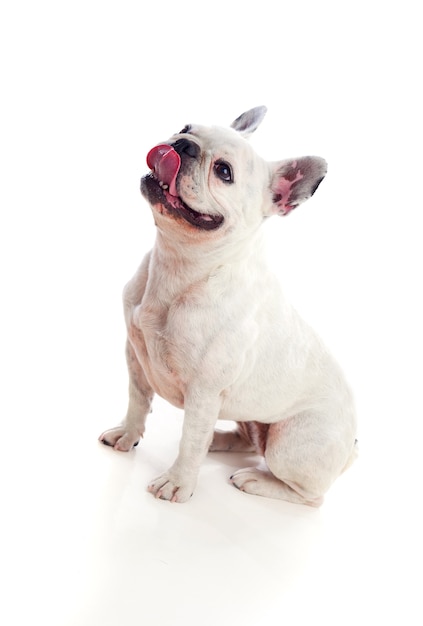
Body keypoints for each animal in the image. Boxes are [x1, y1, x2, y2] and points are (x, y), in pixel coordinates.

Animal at [99, 107, 358, 504]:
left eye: (224, 172)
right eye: (186, 127)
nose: (184, 145)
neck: (179, 265)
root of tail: (353, 444)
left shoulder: (204, 392)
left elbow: (190, 440)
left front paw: (177, 483)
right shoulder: (134, 355)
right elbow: (137, 400)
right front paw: (127, 434)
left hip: (290, 445)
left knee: (308, 494)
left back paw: (255, 480)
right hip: (250, 419)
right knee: (248, 439)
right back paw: (219, 440)